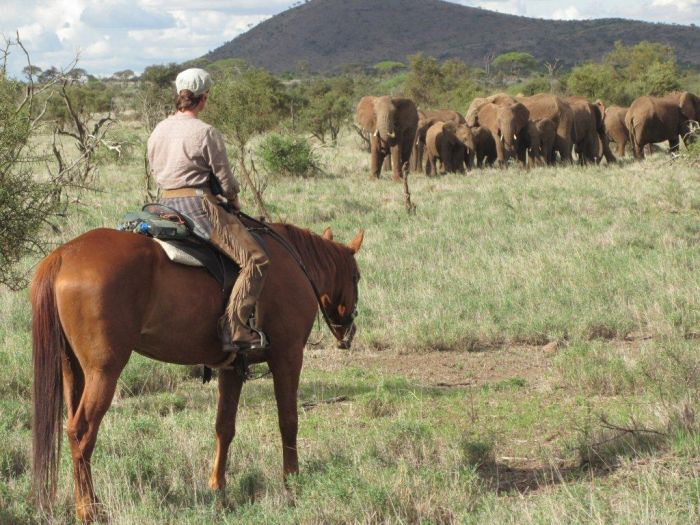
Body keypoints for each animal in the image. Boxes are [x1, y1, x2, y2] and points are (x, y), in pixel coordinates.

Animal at [30, 221, 364, 520]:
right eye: (357, 276)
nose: (348, 331)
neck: (293, 263)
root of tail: (63, 255)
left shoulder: (232, 369)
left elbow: (224, 427)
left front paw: (218, 489)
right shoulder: (288, 357)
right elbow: (288, 421)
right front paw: (291, 483)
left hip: (73, 371)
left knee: (72, 431)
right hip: (103, 373)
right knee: (82, 432)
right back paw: (89, 511)